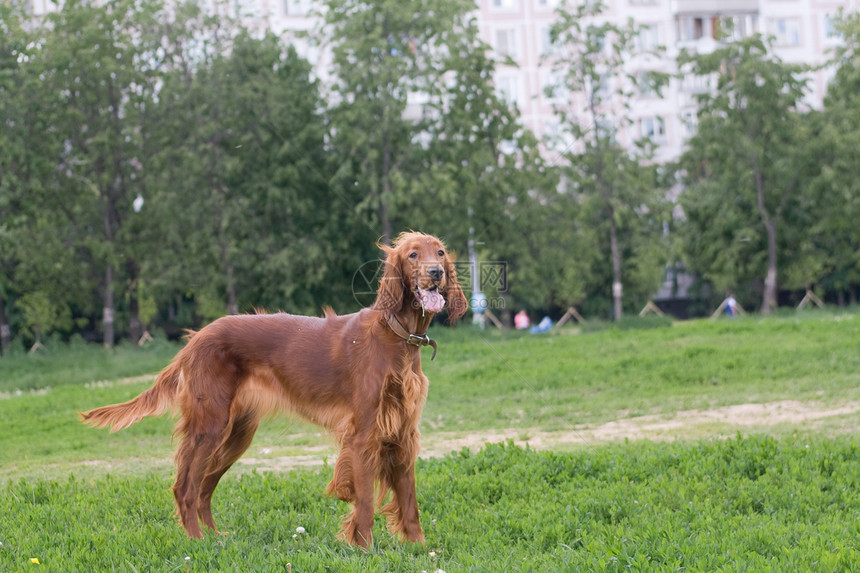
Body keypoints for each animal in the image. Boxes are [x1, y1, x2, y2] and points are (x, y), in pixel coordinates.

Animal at [82, 231, 464, 544]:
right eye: (413, 254)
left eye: (440, 252)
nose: (436, 273)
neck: (397, 336)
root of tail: (196, 339)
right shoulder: (364, 434)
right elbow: (366, 503)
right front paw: (365, 549)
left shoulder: (403, 432)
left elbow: (409, 501)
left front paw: (419, 549)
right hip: (210, 425)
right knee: (186, 488)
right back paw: (196, 543)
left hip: (236, 433)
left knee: (204, 487)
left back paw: (216, 538)